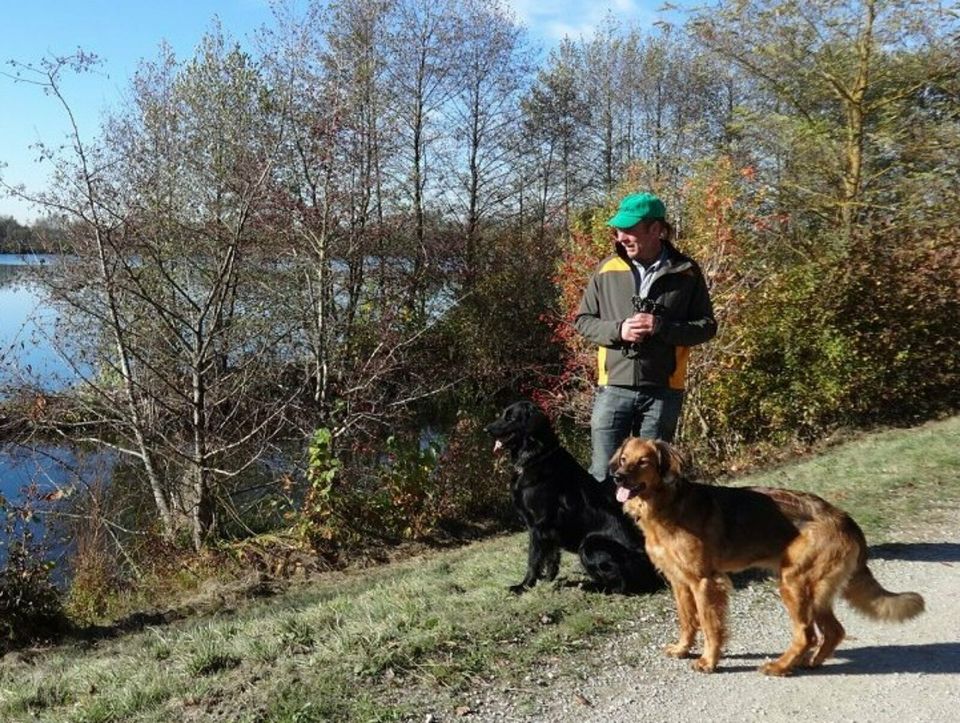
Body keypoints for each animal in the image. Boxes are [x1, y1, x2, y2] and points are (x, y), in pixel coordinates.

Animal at [488, 402, 660, 592]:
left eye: (510, 418)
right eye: (503, 414)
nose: (486, 429)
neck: (536, 456)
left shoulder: (537, 524)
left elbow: (533, 559)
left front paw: (524, 585)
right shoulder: (549, 529)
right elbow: (552, 556)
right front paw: (548, 579)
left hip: (589, 545)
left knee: (620, 585)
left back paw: (588, 586)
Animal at [612, 436, 928, 680]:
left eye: (643, 461)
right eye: (624, 458)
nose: (617, 476)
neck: (666, 505)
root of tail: (845, 519)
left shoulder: (705, 582)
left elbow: (711, 626)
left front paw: (708, 661)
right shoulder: (680, 582)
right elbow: (688, 621)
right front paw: (681, 649)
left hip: (794, 583)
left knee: (806, 634)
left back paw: (780, 666)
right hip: (816, 591)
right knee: (833, 631)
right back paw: (809, 662)